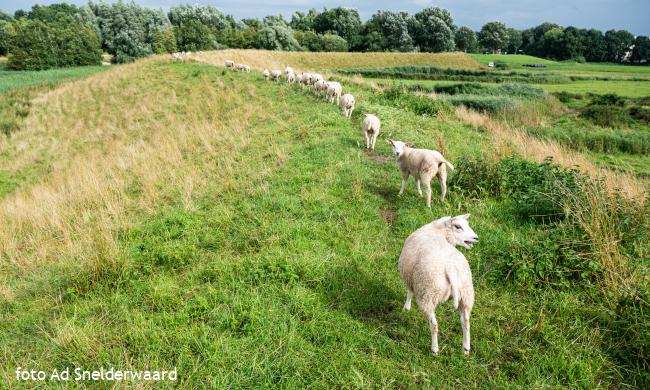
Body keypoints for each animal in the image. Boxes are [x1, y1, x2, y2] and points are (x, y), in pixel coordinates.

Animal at [394, 213, 476, 356]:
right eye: (458, 226)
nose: (476, 238)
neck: (437, 231)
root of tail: (450, 268)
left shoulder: (411, 279)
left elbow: (409, 292)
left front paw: (406, 308)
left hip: (428, 293)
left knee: (434, 324)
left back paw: (435, 349)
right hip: (466, 295)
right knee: (466, 322)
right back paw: (466, 349)